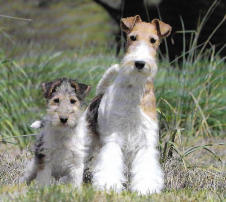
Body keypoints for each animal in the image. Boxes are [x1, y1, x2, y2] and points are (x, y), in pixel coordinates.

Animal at [77, 15, 171, 195]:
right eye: (132, 37)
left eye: (153, 40)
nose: (139, 63)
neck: (134, 88)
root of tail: (100, 93)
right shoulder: (114, 137)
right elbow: (110, 163)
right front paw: (109, 186)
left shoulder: (145, 140)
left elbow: (146, 166)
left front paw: (146, 188)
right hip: (86, 137)